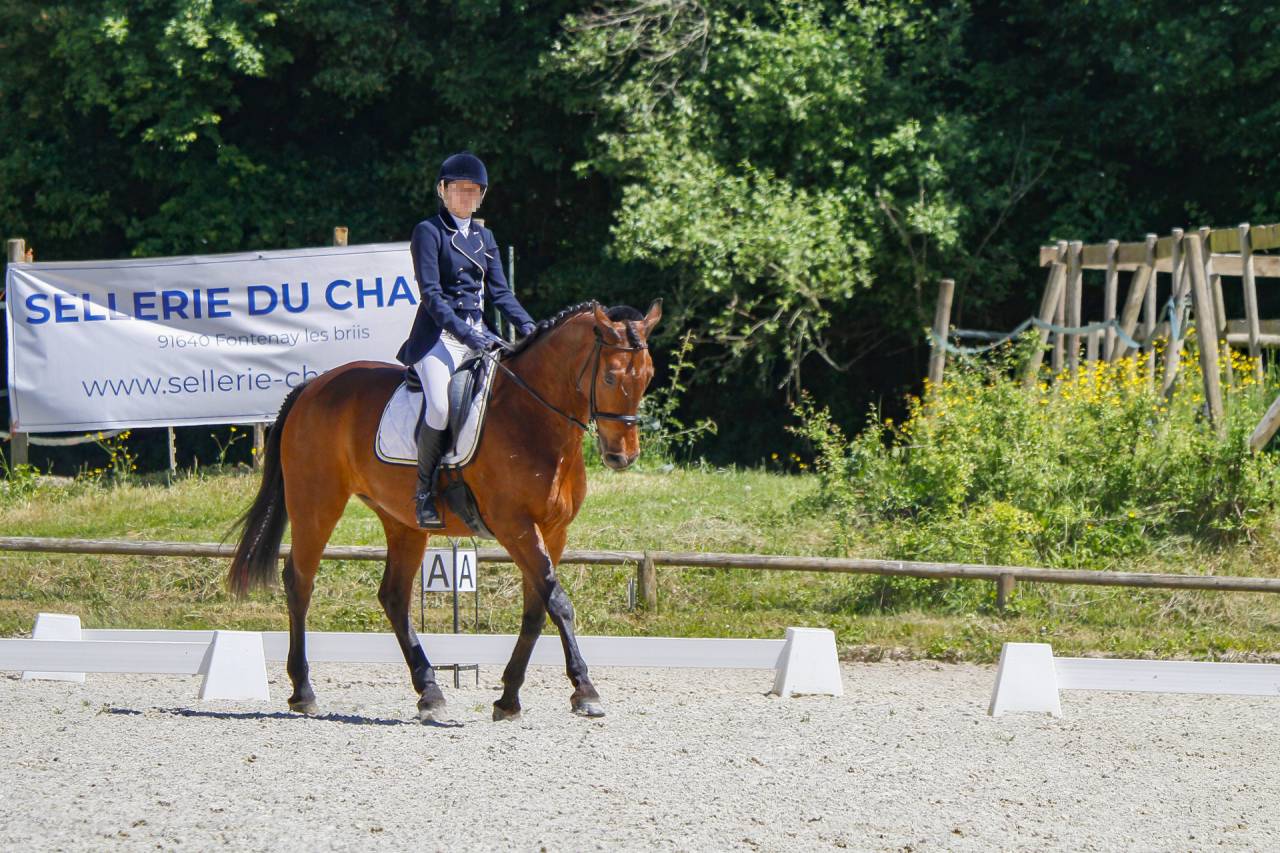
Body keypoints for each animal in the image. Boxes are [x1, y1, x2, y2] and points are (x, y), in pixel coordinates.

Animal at [226, 300, 660, 722]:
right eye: (609, 378)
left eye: (648, 376)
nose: (622, 457)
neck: (533, 418)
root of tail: (311, 386)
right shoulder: (515, 526)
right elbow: (559, 603)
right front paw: (585, 692)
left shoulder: (554, 530)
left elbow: (538, 610)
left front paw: (508, 699)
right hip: (316, 503)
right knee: (300, 582)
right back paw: (304, 692)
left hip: (402, 521)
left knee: (394, 596)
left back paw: (430, 692)